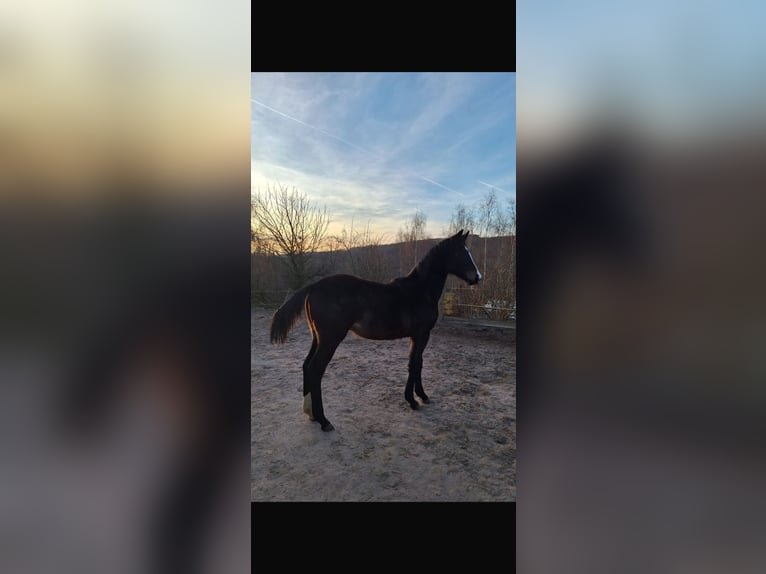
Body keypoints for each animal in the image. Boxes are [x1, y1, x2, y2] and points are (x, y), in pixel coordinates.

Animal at [270, 229, 482, 431]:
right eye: (460, 252)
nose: (477, 277)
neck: (419, 291)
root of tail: (313, 287)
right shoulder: (421, 334)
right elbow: (414, 365)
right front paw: (413, 401)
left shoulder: (417, 336)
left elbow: (418, 364)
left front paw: (422, 396)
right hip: (330, 339)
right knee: (315, 369)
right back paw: (324, 421)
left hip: (317, 338)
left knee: (306, 365)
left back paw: (311, 414)